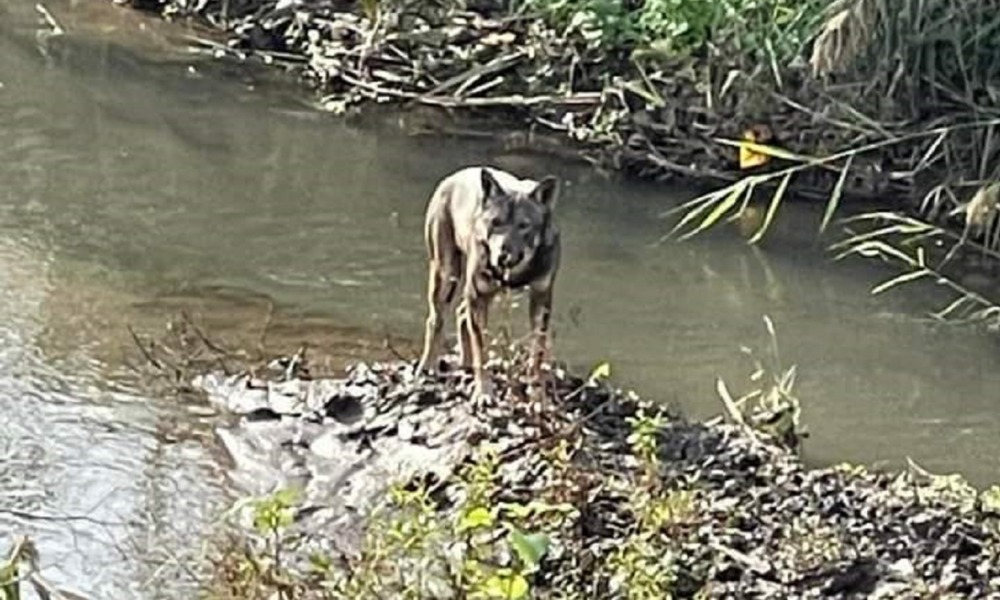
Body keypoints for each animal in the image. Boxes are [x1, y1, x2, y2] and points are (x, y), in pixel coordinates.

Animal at [414, 164, 564, 400]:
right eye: (495, 222)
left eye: (524, 225)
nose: (502, 255)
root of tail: (452, 177)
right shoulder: (479, 295)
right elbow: (481, 351)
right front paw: (484, 392)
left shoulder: (541, 298)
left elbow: (537, 351)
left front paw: (536, 391)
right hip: (446, 275)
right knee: (435, 321)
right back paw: (427, 366)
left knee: (461, 314)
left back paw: (464, 364)